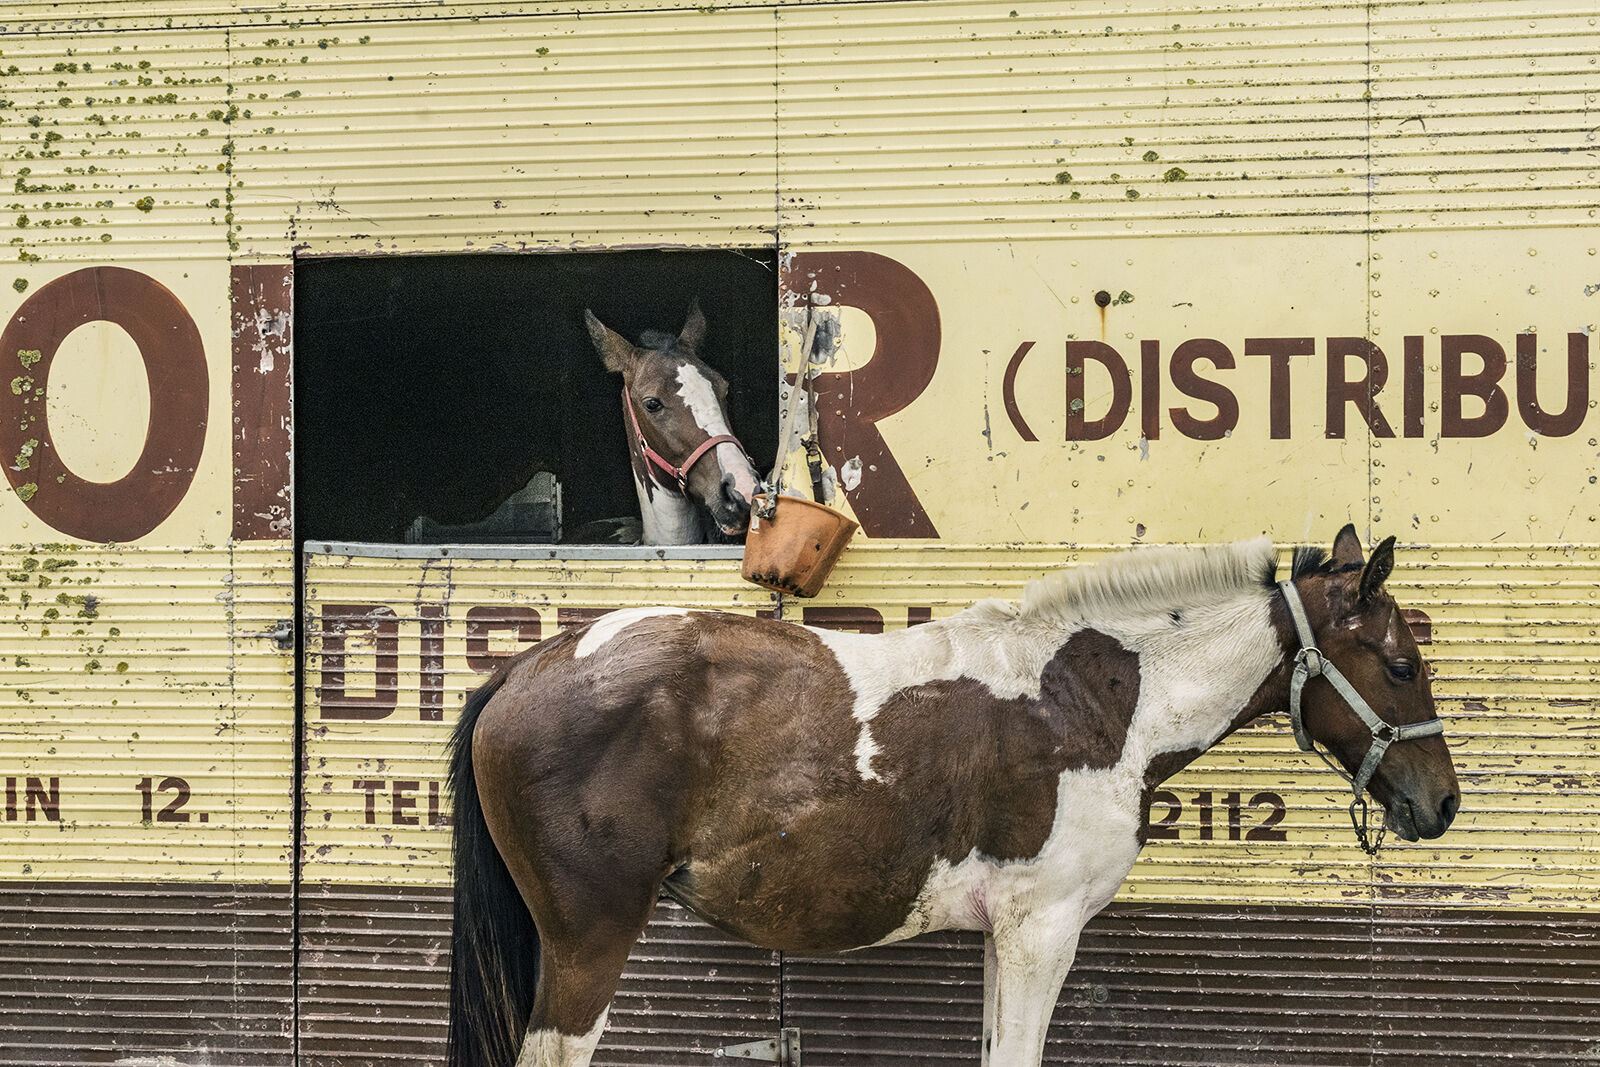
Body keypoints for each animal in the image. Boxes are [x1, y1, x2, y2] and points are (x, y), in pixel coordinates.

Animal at [446, 526, 1460, 1067]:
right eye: (1403, 665)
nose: (1441, 803)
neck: (1086, 702)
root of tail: (529, 666)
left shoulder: (1006, 933)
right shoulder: (1044, 928)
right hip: (590, 941)